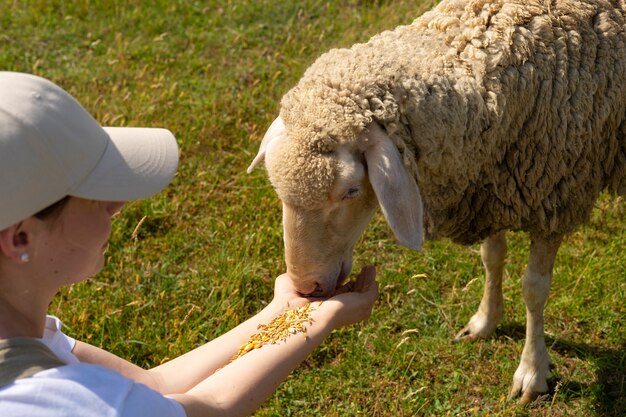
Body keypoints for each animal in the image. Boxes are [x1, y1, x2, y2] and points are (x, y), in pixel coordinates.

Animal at [246, 0, 620, 404]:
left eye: (350, 190)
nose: (305, 288)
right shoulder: (490, 182)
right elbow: (492, 257)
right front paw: (485, 320)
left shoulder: (556, 195)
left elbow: (534, 289)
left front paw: (532, 371)